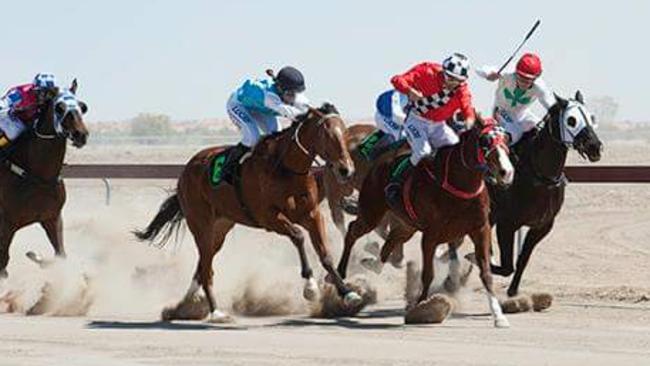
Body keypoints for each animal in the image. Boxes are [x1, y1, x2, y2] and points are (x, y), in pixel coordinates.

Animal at [0, 80, 88, 280]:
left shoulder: (52, 218)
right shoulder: (6, 224)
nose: (81, 135)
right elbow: (3, 264)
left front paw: (37, 257)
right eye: (59, 107)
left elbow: (61, 255)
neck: (39, 176)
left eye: (82, 107)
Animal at [135, 103, 360, 324]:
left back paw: (188, 303)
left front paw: (347, 293)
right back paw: (215, 312)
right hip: (201, 224)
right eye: (327, 135)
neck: (286, 167)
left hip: (220, 227)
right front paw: (310, 287)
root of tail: (186, 171)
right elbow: (298, 236)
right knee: (207, 268)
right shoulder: (269, 217)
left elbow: (325, 255)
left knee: (204, 263)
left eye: (345, 133)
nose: (346, 170)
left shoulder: (312, 215)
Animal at [336, 116, 512, 328]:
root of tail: (378, 164)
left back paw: (374, 264)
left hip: (406, 226)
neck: (459, 186)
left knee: (391, 241)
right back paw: (340, 273)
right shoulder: (431, 235)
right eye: (485, 141)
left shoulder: (480, 229)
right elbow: (428, 274)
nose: (506, 172)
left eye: (507, 138)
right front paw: (419, 307)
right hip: (371, 212)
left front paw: (499, 316)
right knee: (353, 230)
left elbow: (485, 272)